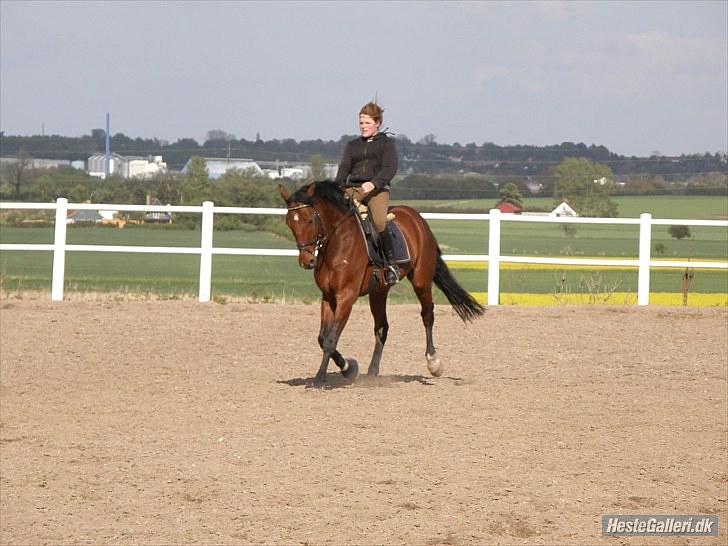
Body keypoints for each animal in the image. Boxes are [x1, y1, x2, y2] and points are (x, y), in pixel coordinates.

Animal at [278, 181, 484, 384]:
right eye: (289, 223)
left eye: (309, 220)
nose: (307, 262)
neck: (338, 242)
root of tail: (417, 218)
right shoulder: (328, 297)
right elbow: (322, 338)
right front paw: (348, 369)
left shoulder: (346, 296)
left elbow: (330, 338)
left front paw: (325, 376)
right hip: (379, 291)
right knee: (382, 327)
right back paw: (372, 372)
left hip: (421, 282)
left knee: (427, 315)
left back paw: (433, 362)